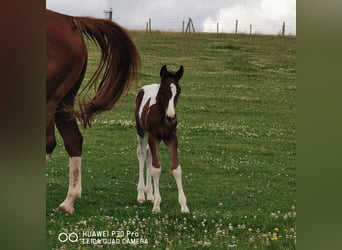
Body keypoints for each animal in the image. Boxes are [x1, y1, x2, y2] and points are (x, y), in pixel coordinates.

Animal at [46, 9, 140, 213]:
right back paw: (69, 202)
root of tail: (70, 20)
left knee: (48, 143)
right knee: (73, 140)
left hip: (48, 99)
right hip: (63, 102)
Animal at [135, 65, 190, 213]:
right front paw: (157, 205)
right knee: (142, 153)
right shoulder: (153, 137)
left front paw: (184, 205)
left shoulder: (171, 138)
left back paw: (150, 194)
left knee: (148, 154)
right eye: (163, 92)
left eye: (179, 92)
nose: (171, 116)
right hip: (141, 131)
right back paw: (141, 194)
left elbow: (176, 168)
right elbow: (156, 168)